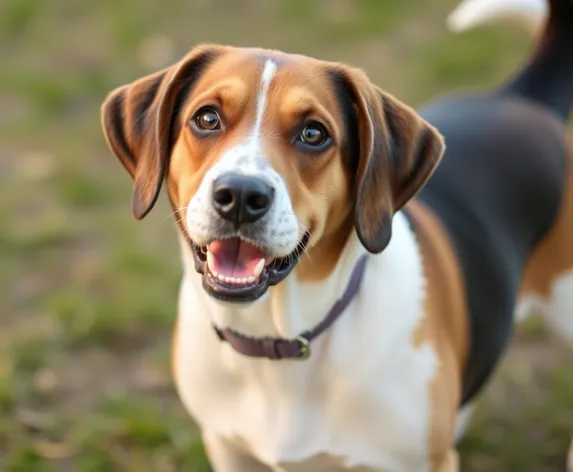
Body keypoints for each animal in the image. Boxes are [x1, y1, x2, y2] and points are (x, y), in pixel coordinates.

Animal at [100, 0, 568, 468]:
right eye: (207, 118)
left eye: (313, 133)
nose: (241, 195)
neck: (279, 344)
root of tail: (522, 97)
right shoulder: (227, 447)